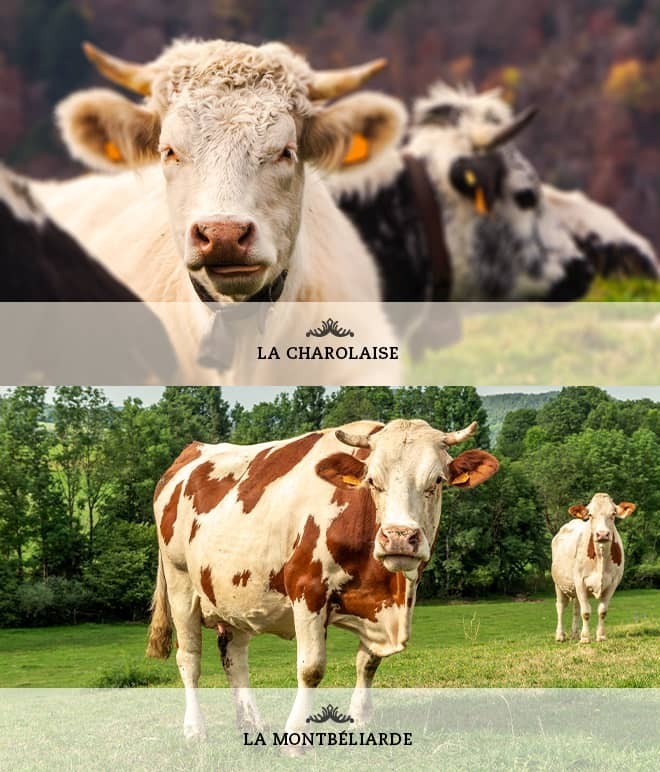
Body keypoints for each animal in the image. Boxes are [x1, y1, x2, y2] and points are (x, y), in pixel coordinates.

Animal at [147, 418, 499, 740]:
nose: (399, 537)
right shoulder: (307, 589)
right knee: (190, 657)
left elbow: (367, 663)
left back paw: (252, 724)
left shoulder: (377, 607)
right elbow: (311, 669)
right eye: (372, 481)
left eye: (437, 481)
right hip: (180, 583)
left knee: (233, 654)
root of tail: (193, 450)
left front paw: (359, 721)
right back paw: (195, 730)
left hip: (233, 591)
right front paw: (296, 737)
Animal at [551, 493, 635, 644]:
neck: (601, 559)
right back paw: (560, 635)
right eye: (590, 515)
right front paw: (585, 638)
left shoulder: (613, 583)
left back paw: (575, 634)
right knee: (560, 606)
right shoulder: (579, 581)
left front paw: (600, 636)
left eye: (613, 514)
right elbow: (586, 612)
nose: (602, 534)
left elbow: (602, 611)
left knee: (576, 608)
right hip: (558, 583)